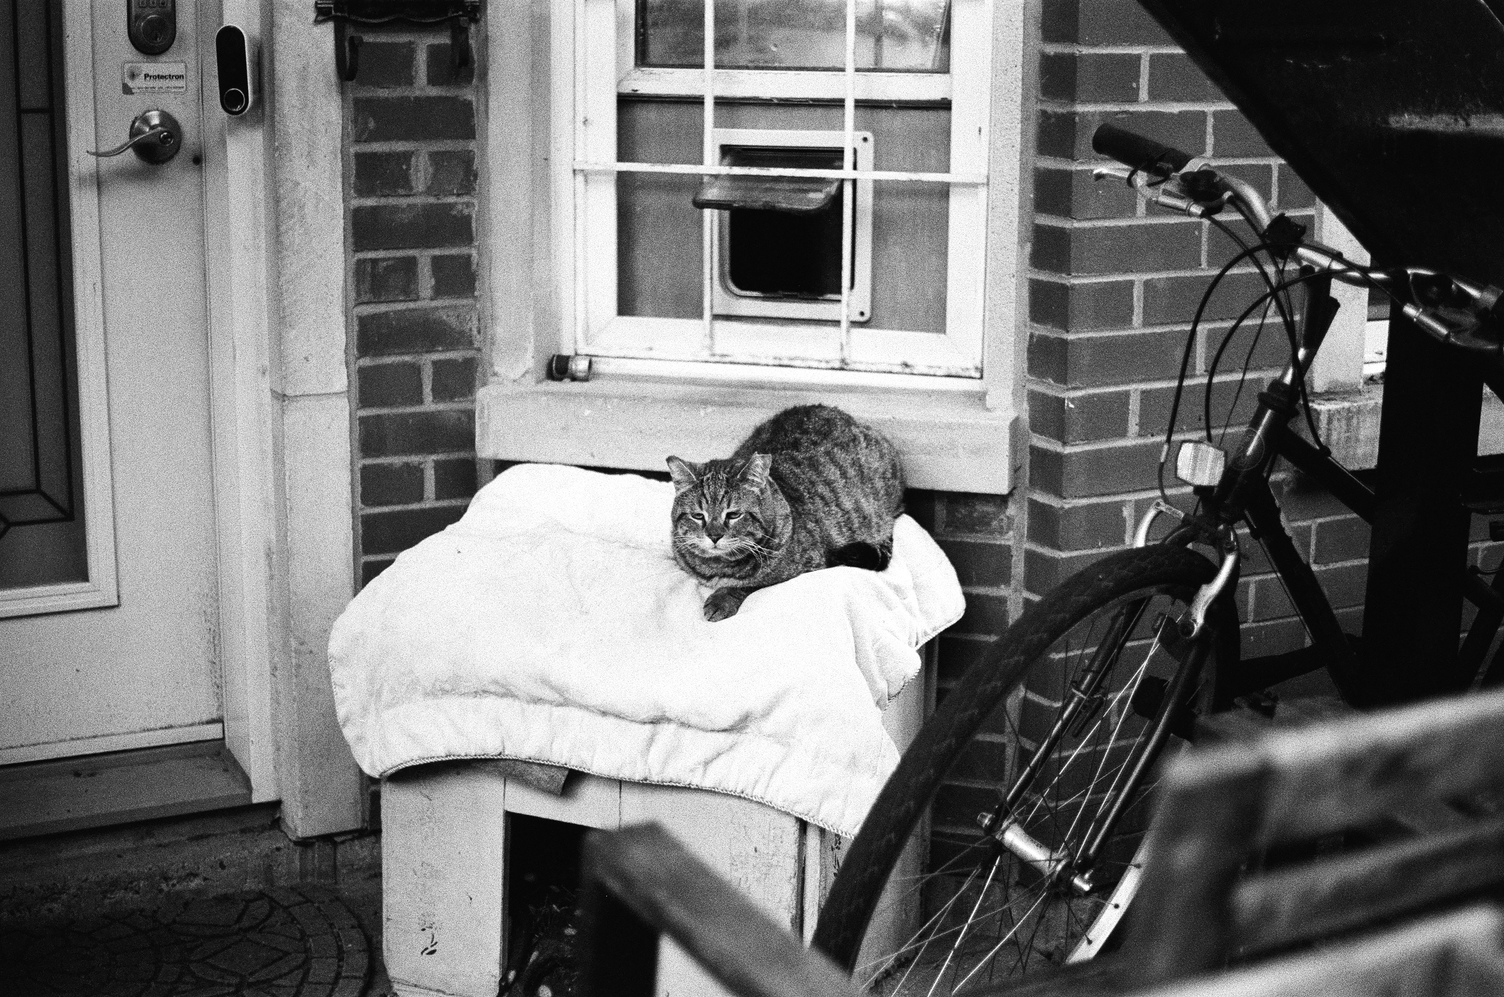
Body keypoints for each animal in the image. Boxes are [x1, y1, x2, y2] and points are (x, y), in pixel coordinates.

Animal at [670, 403, 902, 619]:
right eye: (698, 516)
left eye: (734, 515)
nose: (714, 536)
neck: (717, 566)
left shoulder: (802, 569)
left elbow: (748, 584)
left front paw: (722, 600)